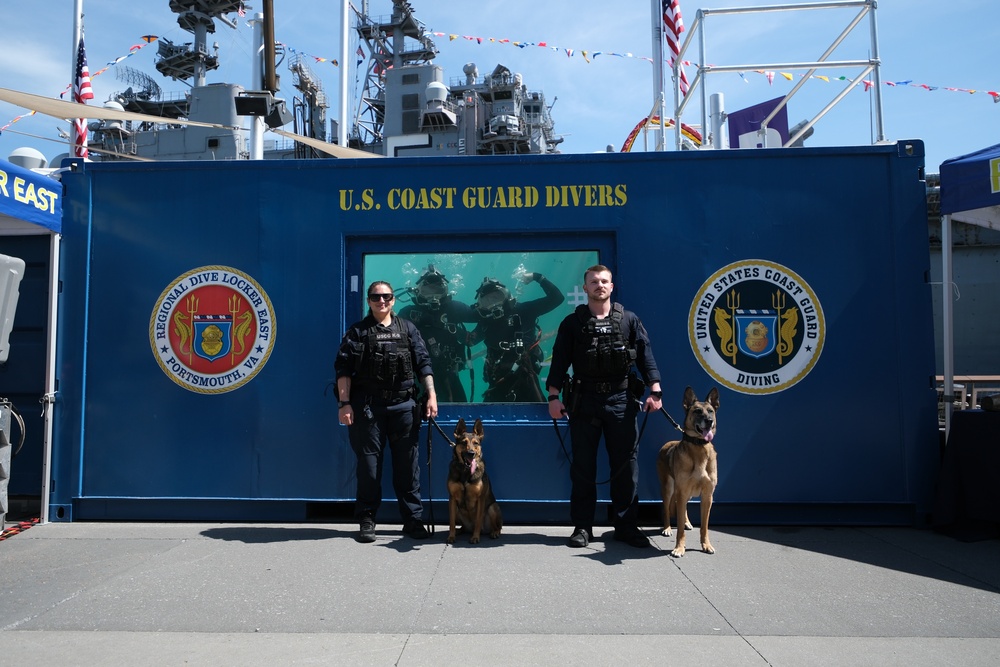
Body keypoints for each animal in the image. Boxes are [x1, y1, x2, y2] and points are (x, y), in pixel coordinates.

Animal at [656, 386, 720, 560]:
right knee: (667, 509)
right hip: (669, 488)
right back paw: (667, 528)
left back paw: (687, 522)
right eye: (697, 411)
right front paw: (679, 548)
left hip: (686, 493)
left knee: (682, 508)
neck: (699, 446)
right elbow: (679, 529)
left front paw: (706, 545)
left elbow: (704, 526)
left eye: (711, 411)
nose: (709, 421)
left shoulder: (707, 496)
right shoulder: (682, 491)